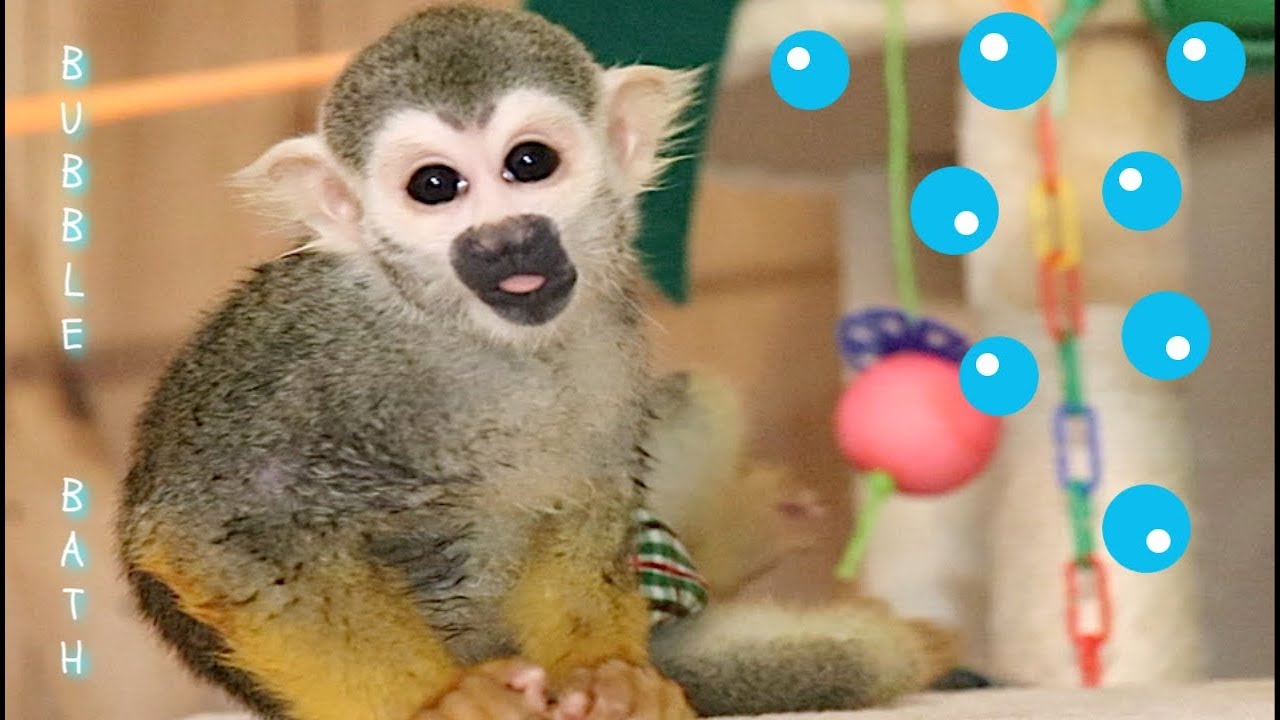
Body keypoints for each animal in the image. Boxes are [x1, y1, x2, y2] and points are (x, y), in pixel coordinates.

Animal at [116, 5, 958, 720]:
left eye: (529, 162)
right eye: (435, 186)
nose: (506, 239)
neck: (471, 335)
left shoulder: (608, 336)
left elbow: (583, 499)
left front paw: (611, 678)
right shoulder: (302, 358)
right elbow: (219, 528)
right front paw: (445, 702)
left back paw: (733, 544)